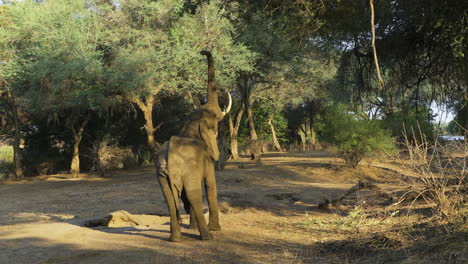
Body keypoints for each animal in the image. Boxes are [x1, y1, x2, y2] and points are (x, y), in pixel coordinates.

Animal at [156, 50, 231, 241]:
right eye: (215, 121)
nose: (202, 51)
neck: (192, 123)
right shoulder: (207, 158)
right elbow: (210, 184)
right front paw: (215, 229)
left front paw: (192, 228)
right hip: (188, 169)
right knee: (193, 193)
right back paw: (207, 236)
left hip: (161, 172)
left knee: (169, 198)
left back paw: (175, 239)